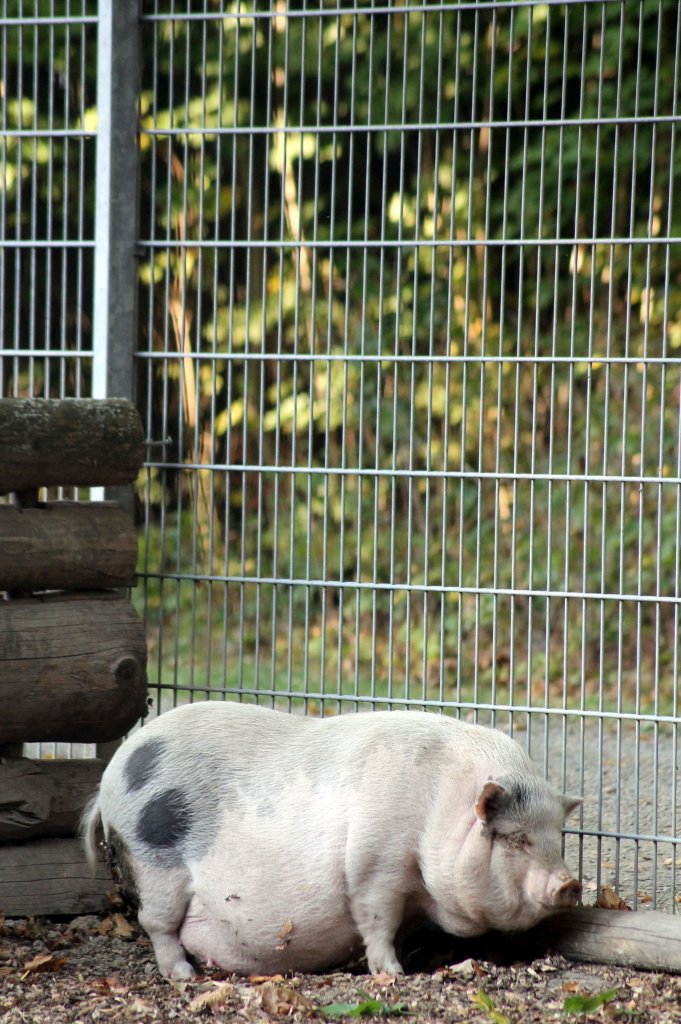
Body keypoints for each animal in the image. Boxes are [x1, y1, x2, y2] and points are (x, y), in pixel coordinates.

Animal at [79, 700, 577, 978]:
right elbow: (376, 917)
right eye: (515, 839)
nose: (570, 883)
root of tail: (111, 772)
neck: (441, 806)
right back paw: (184, 976)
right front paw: (392, 973)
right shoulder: (376, 858)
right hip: (153, 858)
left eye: (558, 837)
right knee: (156, 922)